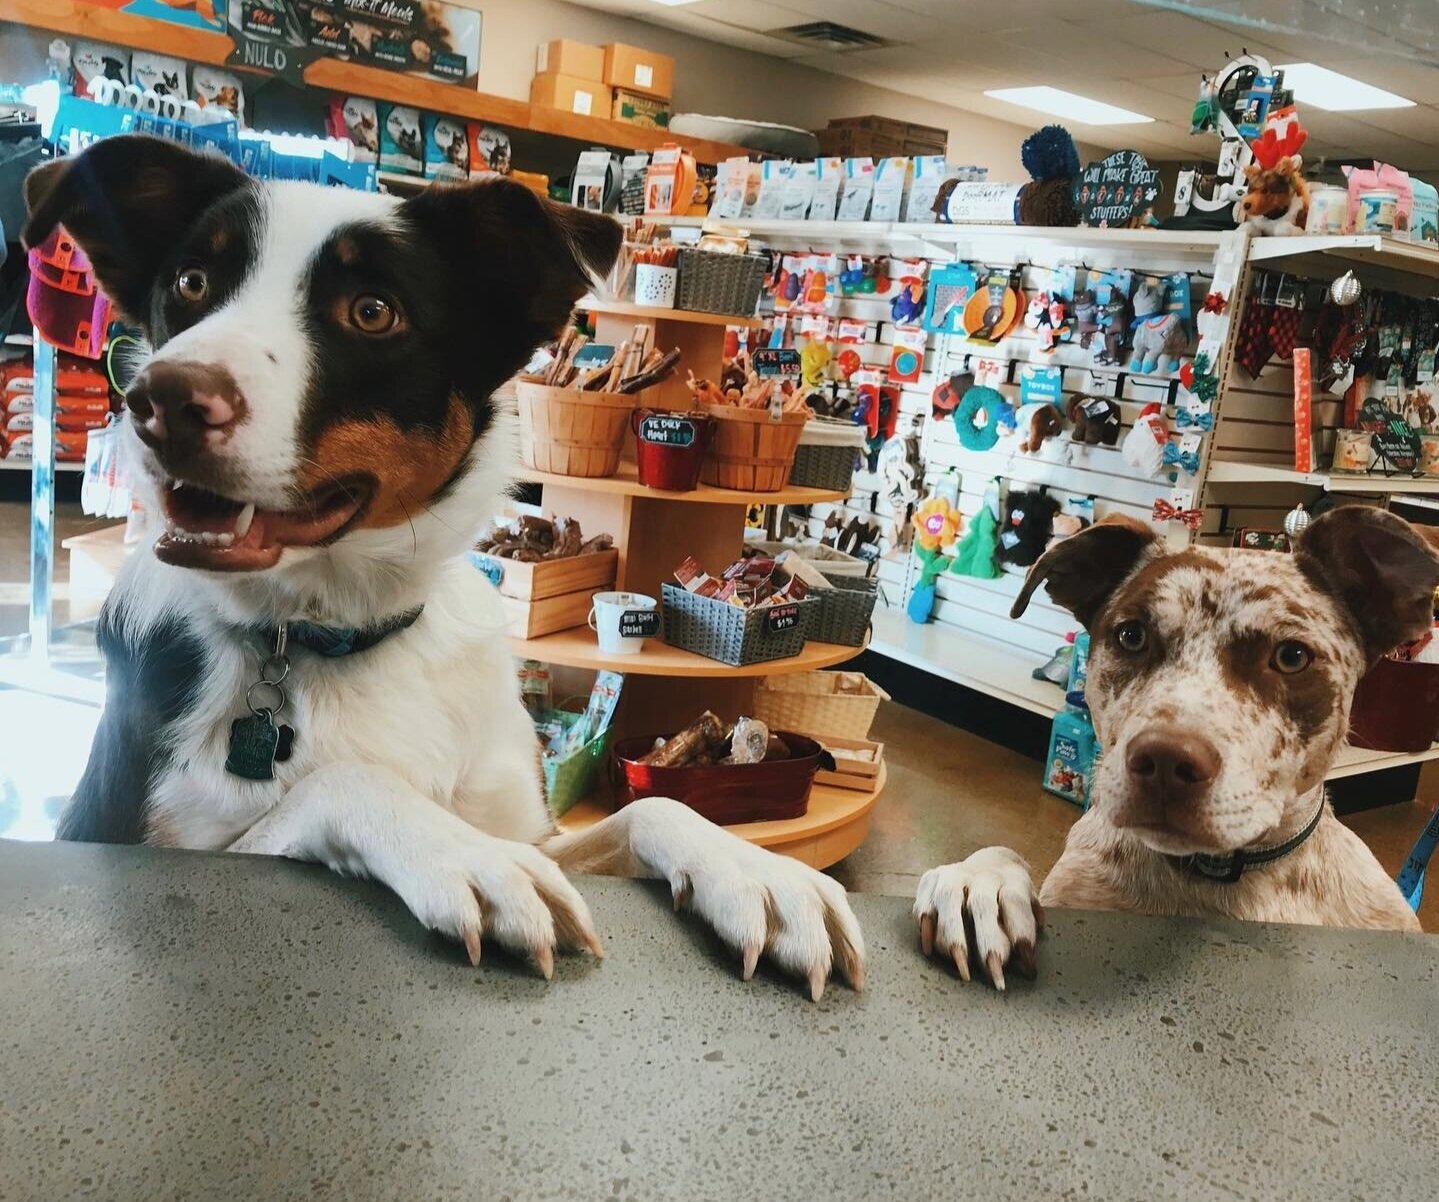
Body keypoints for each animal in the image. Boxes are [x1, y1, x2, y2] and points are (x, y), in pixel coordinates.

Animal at [28, 133, 863, 996]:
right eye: (192, 282)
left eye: (372, 311)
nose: (161, 401)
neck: (332, 632)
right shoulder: (146, 839)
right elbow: (343, 782)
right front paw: (469, 857)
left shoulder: (537, 826)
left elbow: (652, 810)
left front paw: (759, 874)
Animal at [920, 506, 1439, 984]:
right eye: (1131, 635)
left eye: (1291, 656)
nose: (1165, 760)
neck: (1220, 882)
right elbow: (1002, 858)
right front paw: (981, 882)